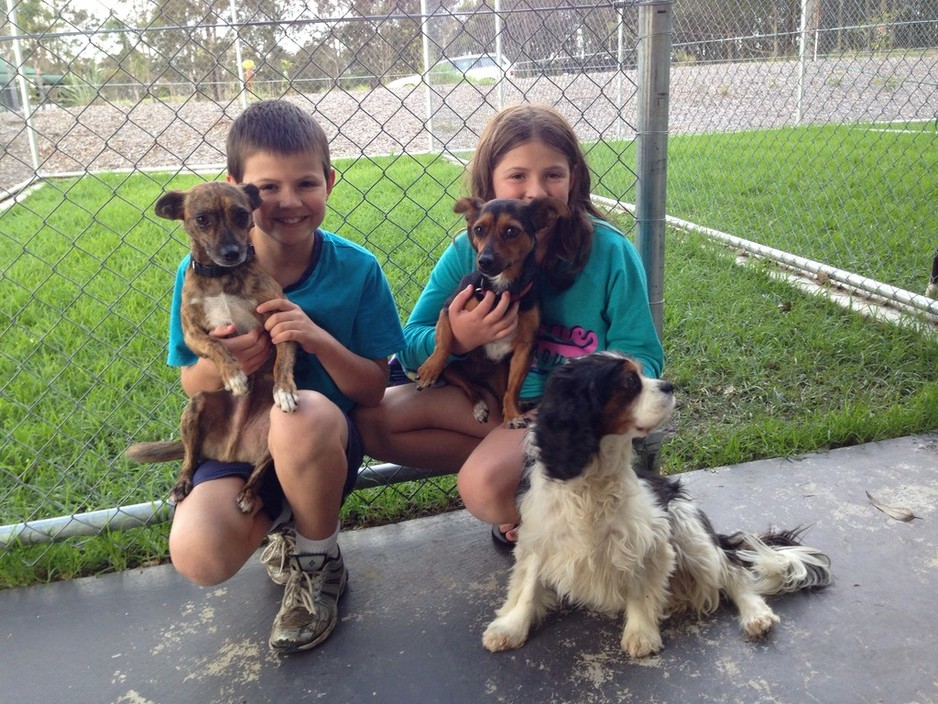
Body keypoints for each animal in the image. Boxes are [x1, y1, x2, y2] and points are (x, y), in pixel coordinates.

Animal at [126, 182, 296, 512]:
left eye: (241, 214)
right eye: (202, 219)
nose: (232, 253)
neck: (222, 277)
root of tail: (230, 451)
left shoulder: (279, 319)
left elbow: (283, 362)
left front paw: (284, 390)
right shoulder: (193, 333)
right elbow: (215, 344)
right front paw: (234, 375)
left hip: (271, 434)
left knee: (259, 470)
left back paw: (248, 493)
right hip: (195, 407)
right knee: (190, 458)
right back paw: (181, 485)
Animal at [418, 198, 568, 428]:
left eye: (511, 231)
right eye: (479, 229)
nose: (484, 260)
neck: (500, 290)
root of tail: (480, 375)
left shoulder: (525, 348)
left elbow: (512, 390)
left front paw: (513, 415)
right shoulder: (448, 308)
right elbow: (443, 341)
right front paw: (430, 367)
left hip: (500, 371)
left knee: (500, 394)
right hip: (453, 371)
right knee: (470, 388)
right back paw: (478, 405)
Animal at [478, 354, 828, 656]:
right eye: (629, 382)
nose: (669, 385)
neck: (594, 478)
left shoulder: (647, 540)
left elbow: (641, 587)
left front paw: (640, 634)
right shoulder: (538, 538)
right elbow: (527, 587)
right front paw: (511, 628)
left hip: (687, 529)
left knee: (733, 571)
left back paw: (755, 615)